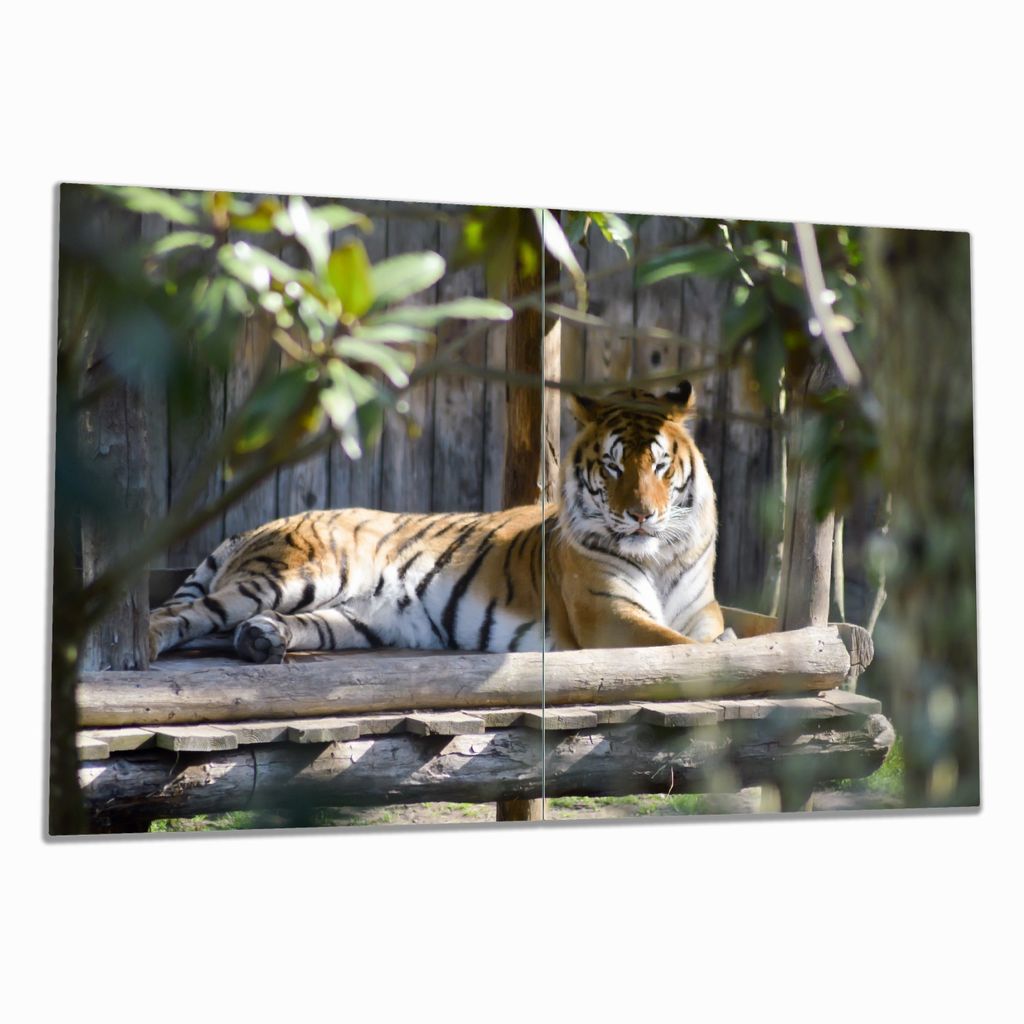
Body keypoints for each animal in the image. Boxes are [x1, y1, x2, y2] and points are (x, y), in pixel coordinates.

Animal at [148, 378, 726, 663]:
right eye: (612, 466)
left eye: (659, 465)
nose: (641, 515)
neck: (662, 555)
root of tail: (258, 527)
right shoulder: (609, 615)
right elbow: (681, 649)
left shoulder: (704, 613)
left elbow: (715, 639)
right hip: (295, 575)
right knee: (181, 615)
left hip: (359, 618)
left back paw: (262, 639)